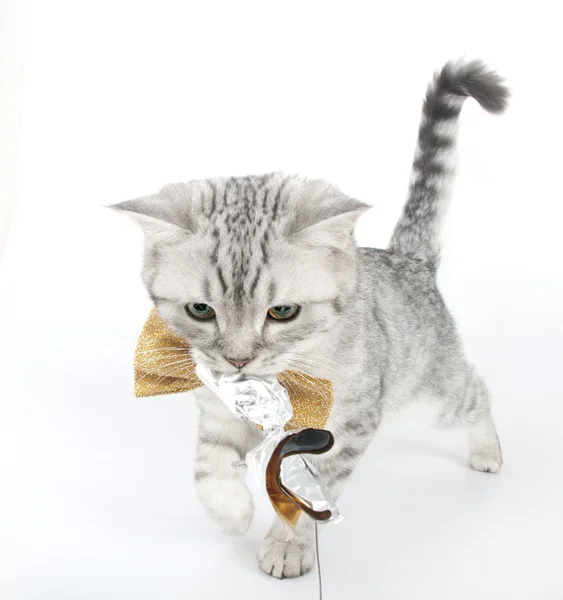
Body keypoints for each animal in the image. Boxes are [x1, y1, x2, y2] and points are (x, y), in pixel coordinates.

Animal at [112, 59, 508, 576]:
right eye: (201, 309)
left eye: (282, 312)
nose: (238, 359)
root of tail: (409, 260)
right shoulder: (217, 412)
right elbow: (207, 466)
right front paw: (232, 513)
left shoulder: (345, 426)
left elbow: (307, 495)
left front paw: (286, 546)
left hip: (430, 393)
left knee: (476, 392)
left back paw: (488, 451)